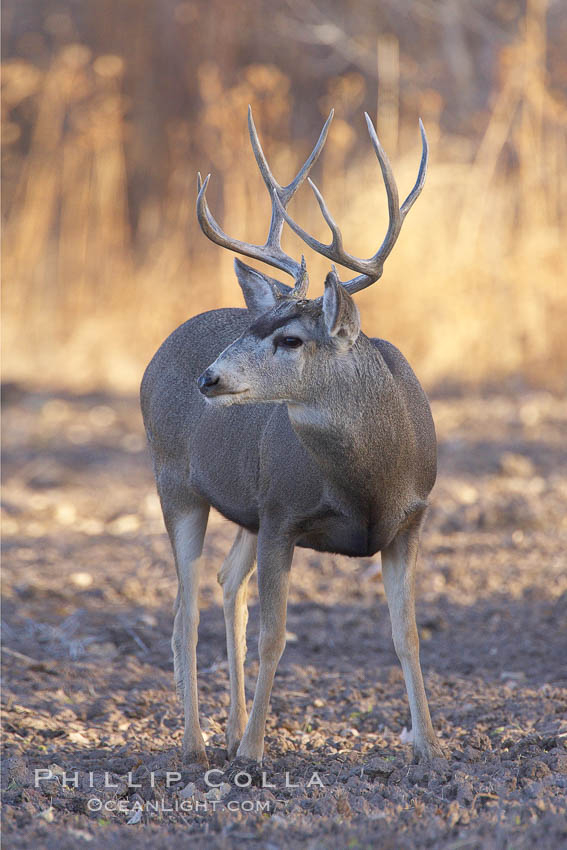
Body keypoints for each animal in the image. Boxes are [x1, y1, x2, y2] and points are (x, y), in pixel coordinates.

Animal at [141, 106, 444, 760]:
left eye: (289, 338)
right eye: (252, 328)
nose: (210, 377)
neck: (370, 482)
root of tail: (159, 350)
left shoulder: (410, 520)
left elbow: (407, 635)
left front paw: (432, 749)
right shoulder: (282, 512)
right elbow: (275, 636)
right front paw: (254, 753)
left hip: (245, 509)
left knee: (227, 584)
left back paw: (228, 731)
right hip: (174, 480)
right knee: (184, 613)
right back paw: (198, 744)